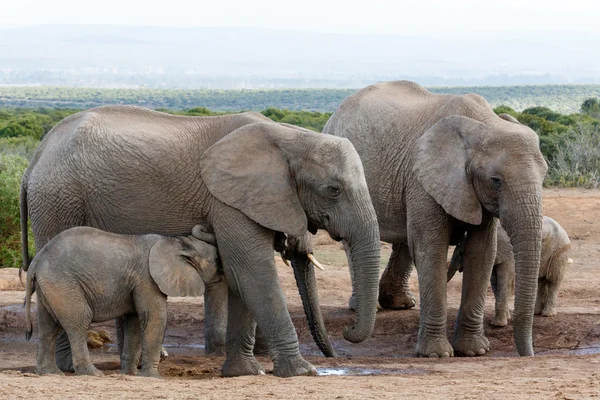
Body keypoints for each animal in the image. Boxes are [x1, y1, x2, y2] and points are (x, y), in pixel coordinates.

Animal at [25, 225, 221, 378]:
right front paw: (152, 377)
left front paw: (130, 374)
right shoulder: (147, 278)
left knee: (48, 327)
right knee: (79, 322)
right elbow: (154, 317)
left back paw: (50, 373)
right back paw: (92, 373)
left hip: (49, 286)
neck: (175, 243)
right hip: (63, 283)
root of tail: (36, 261)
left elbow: (134, 321)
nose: (203, 227)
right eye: (217, 261)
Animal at [324, 80, 548, 356]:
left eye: (544, 176)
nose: (528, 354)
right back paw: (366, 306)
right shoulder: (423, 179)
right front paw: (436, 354)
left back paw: (399, 304)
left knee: (405, 239)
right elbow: (432, 249)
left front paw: (473, 351)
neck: (483, 124)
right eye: (496, 181)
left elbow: (482, 252)